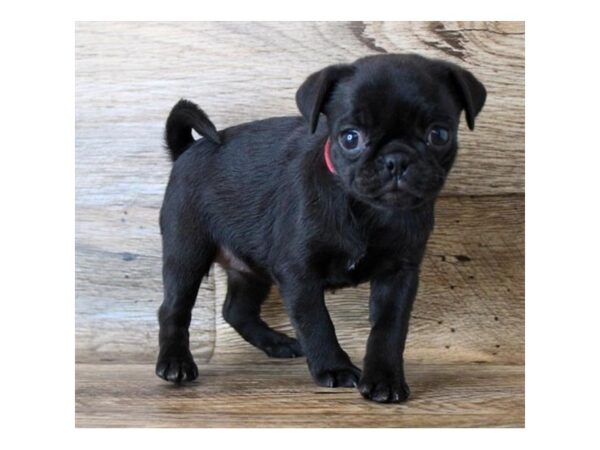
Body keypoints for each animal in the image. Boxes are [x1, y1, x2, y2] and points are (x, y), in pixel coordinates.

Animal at [157, 54, 486, 402]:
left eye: (439, 135)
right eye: (350, 138)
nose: (396, 160)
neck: (366, 210)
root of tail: (187, 150)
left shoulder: (399, 273)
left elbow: (389, 329)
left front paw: (385, 379)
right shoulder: (299, 272)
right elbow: (317, 322)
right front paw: (335, 368)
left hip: (251, 267)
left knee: (237, 310)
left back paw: (277, 343)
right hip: (187, 252)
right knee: (174, 308)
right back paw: (175, 363)